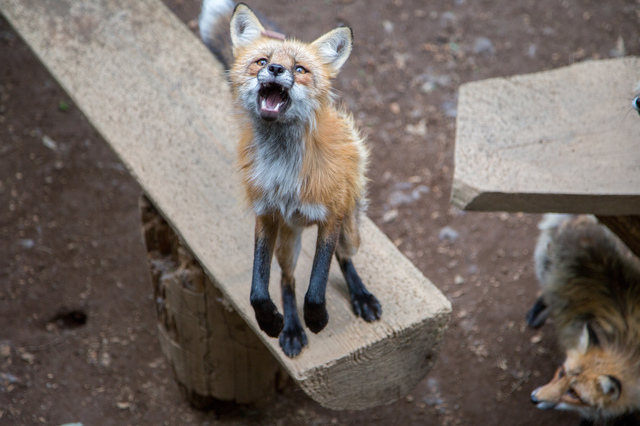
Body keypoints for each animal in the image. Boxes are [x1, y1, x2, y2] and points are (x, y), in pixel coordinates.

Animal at [200, 1, 380, 358]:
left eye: (300, 69)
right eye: (262, 61)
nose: (275, 70)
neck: (284, 172)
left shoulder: (332, 215)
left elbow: (317, 283)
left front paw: (318, 318)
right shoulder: (266, 215)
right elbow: (259, 288)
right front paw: (271, 321)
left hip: (351, 227)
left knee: (344, 256)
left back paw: (359, 295)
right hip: (289, 239)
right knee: (287, 279)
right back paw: (292, 327)